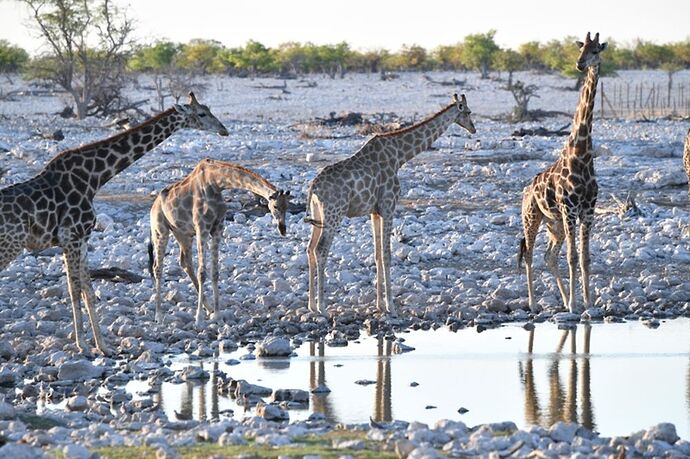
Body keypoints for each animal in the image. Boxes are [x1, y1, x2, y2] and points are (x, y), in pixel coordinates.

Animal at [0, 91, 228, 354]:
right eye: (202, 113)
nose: (223, 130)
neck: (94, 178)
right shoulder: (71, 237)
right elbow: (74, 290)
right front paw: (82, 345)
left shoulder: (81, 239)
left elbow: (87, 290)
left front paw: (102, 346)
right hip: (9, 246)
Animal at [149, 160, 288, 326]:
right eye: (275, 206)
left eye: (287, 207)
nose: (283, 229)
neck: (216, 183)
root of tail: (154, 205)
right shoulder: (202, 227)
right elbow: (202, 272)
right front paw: (199, 318)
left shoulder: (217, 228)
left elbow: (215, 272)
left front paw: (217, 314)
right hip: (160, 230)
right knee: (158, 267)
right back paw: (158, 315)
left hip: (182, 234)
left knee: (185, 262)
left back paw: (208, 308)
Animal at [304, 93, 476, 316]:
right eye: (468, 112)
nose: (473, 128)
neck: (400, 156)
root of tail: (313, 187)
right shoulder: (389, 206)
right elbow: (387, 255)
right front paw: (391, 306)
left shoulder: (375, 212)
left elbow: (377, 255)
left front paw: (379, 304)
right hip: (334, 214)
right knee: (321, 249)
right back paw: (323, 307)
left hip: (318, 214)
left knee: (309, 248)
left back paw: (311, 305)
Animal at [516, 31, 608, 312]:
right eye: (580, 49)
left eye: (595, 51)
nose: (580, 64)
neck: (582, 154)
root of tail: (526, 190)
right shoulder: (570, 209)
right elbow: (573, 257)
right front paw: (576, 305)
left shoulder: (588, 210)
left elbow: (585, 258)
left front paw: (587, 303)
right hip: (532, 217)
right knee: (529, 254)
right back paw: (533, 303)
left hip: (553, 224)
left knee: (549, 256)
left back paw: (565, 299)